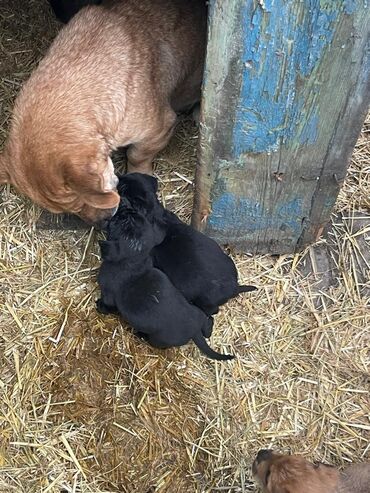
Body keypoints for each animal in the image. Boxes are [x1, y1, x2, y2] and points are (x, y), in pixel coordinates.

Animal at [0, 0, 207, 226]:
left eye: (83, 202)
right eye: (70, 211)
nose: (101, 224)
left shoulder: (159, 129)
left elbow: (137, 156)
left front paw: (140, 175)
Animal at [97, 186, 233, 360]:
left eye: (120, 219)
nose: (122, 201)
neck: (133, 262)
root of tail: (194, 331)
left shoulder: (108, 294)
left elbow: (107, 305)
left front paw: (99, 306)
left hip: (158, 340)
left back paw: (140, 334)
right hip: (197, 312)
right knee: (208, 320)